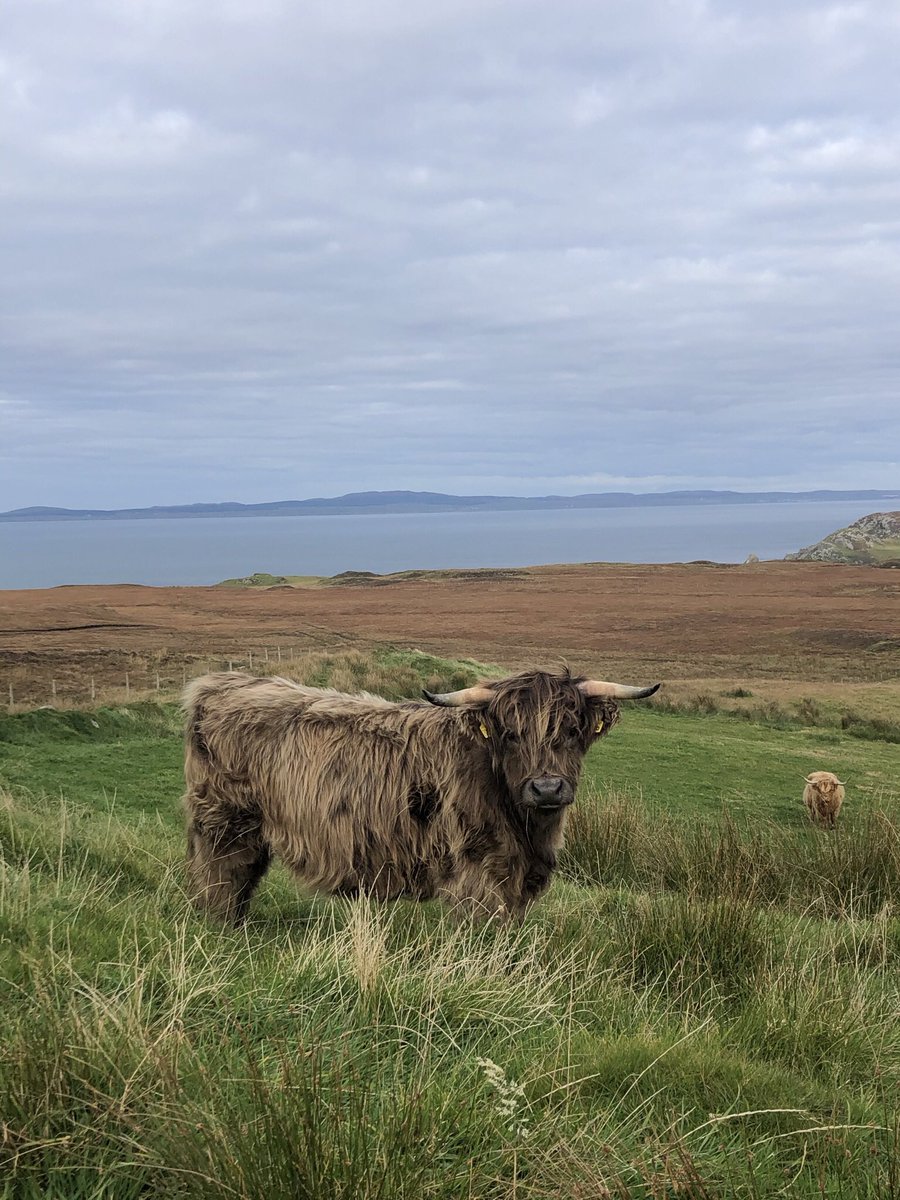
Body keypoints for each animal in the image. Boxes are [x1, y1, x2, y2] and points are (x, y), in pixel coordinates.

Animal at [181, 667, 660, 924]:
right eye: (509, 734)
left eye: (573, 731)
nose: (546, 788)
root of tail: (218, 683)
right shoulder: (478, 868)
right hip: (224, 821)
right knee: (222, 873)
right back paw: (220, 925)